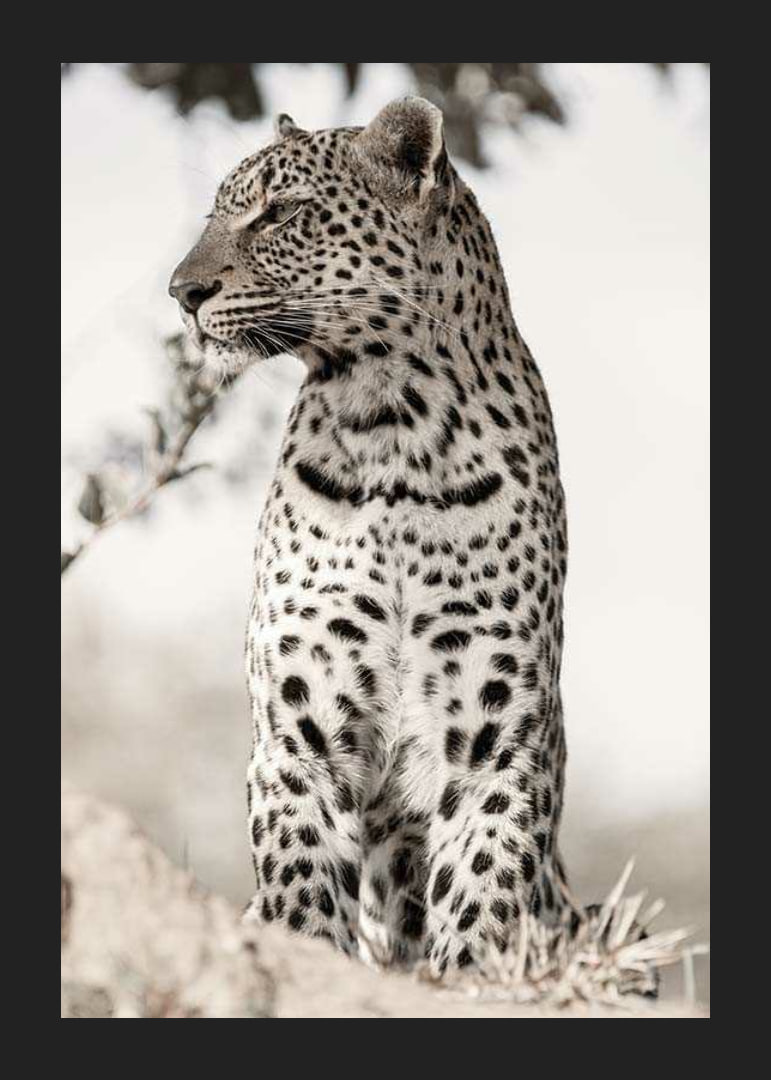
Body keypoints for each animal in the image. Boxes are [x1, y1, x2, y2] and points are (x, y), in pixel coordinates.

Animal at [170, 97, 578, 977]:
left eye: (279, 212)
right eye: (216, 212)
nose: (181, 292)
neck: (392, 424)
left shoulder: (496, 742)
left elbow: (481, 901)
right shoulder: (298, 734)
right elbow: (300, 895)